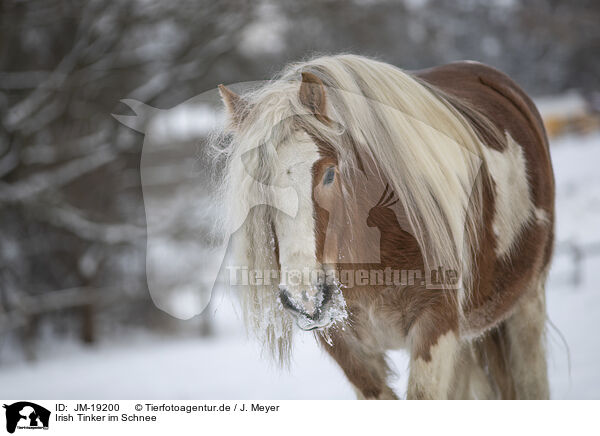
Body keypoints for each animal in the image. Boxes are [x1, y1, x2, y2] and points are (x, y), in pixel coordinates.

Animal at [218, 54, 556, 398]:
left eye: (329, 173)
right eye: (256, 187)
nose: (306, 297)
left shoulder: (436, 328)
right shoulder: (344, 345)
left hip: (527, 304)